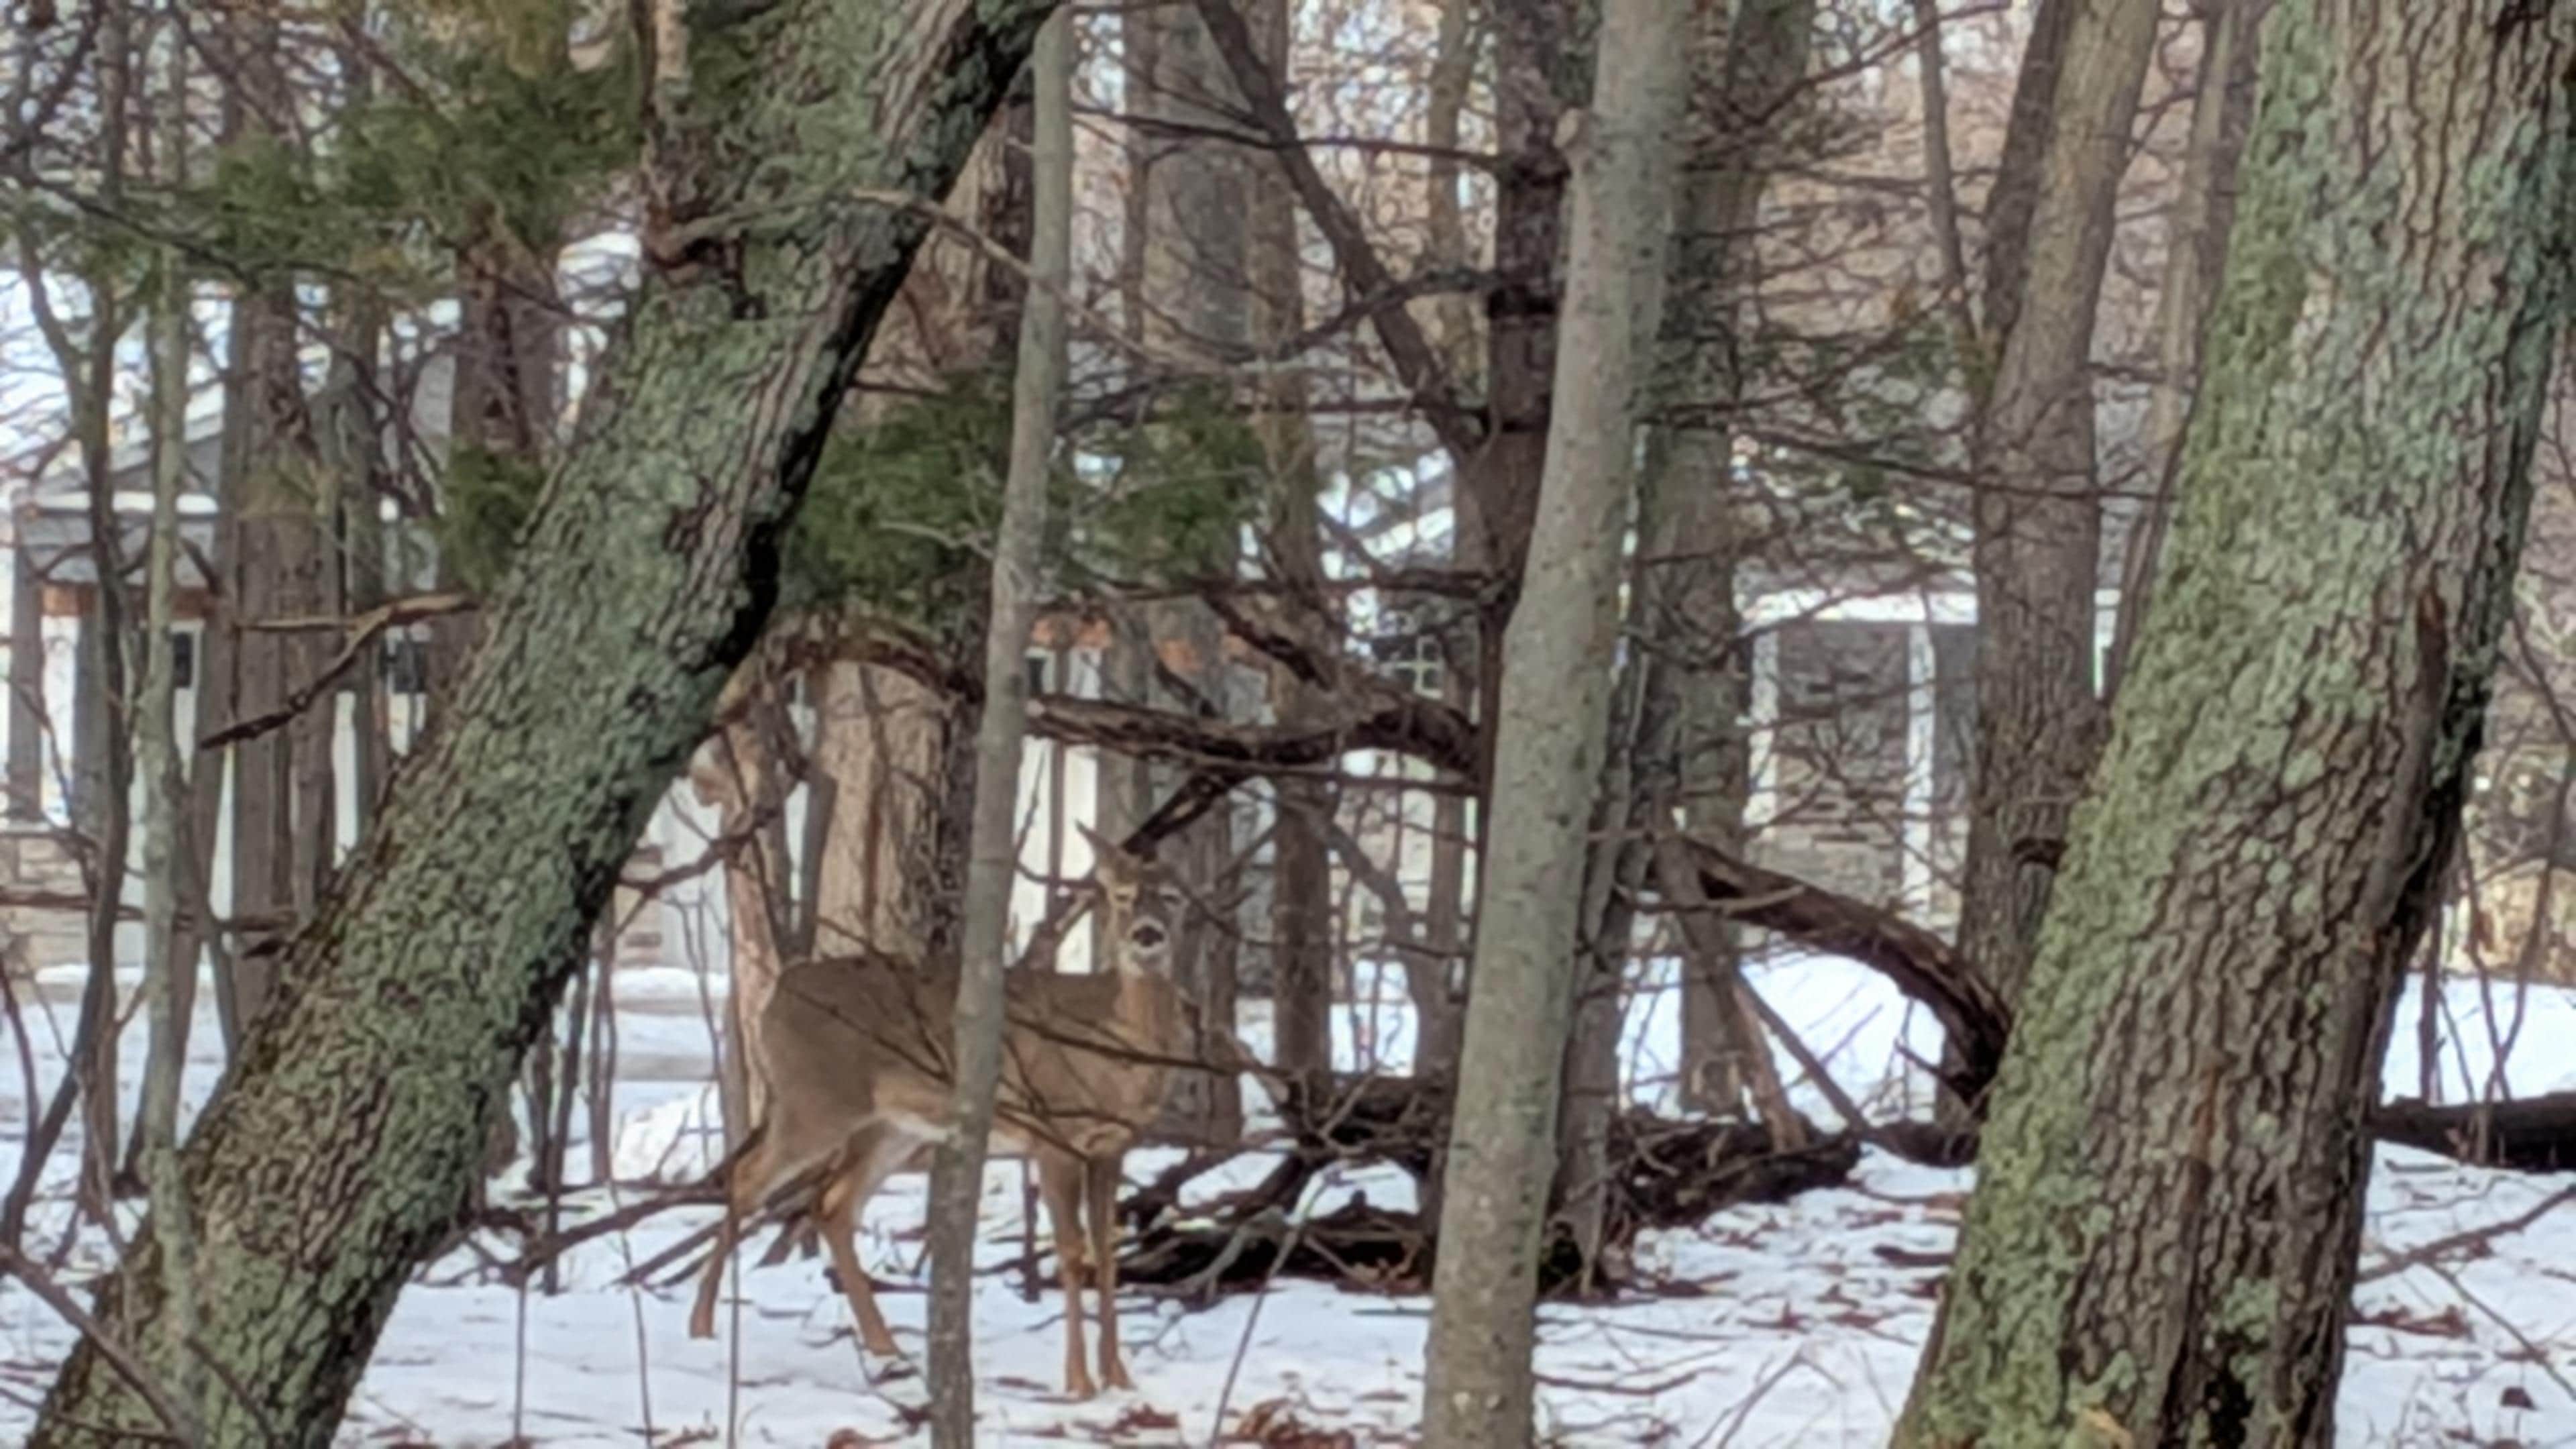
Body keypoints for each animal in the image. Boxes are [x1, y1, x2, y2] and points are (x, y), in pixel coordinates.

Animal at [687, 827, 1266, 1400]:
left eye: (1171, 897)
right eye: (1121, 896)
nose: (1147, 935)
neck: (1115, 1049)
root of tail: (778, 995)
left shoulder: (1115, 1143)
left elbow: (1106, 1250)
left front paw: (1119, 1377)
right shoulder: (1054, 1133)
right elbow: (1071, 1250)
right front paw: (1079, 1382)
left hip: (889, 1125)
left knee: (833, 1204)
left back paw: (885, 1347)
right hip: (815, 1102)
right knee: (747, 1178)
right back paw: (702, 1325)